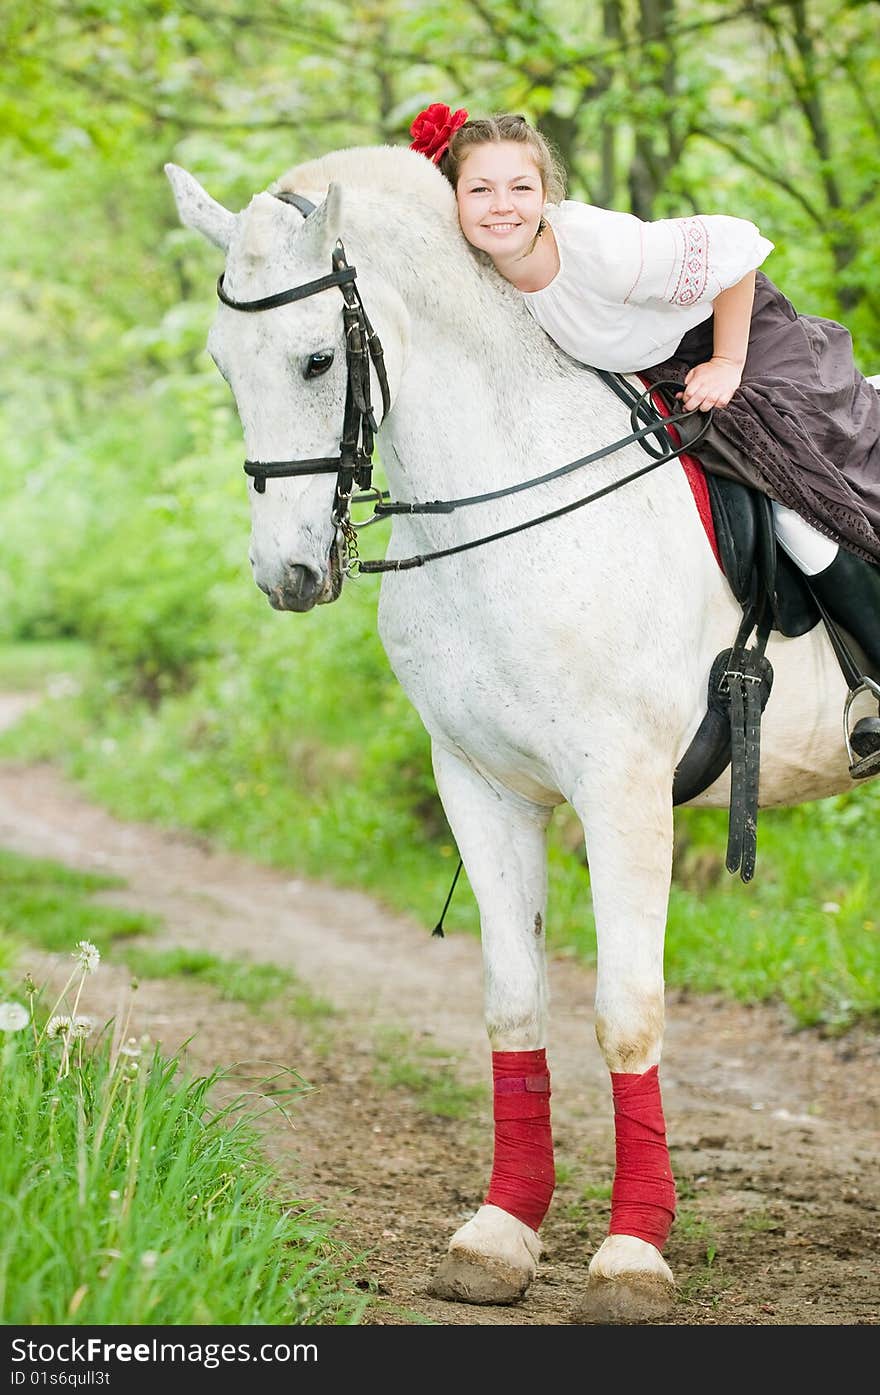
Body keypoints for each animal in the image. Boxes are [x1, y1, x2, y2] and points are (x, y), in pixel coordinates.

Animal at [163, 147, 875, 1322]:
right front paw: (501, 1233)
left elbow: (626, 1012)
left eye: (317, 360)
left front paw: (631, 1253)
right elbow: (512, 1006)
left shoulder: (622, 791)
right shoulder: (480, 786)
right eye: (225, 365)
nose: (288, 574)